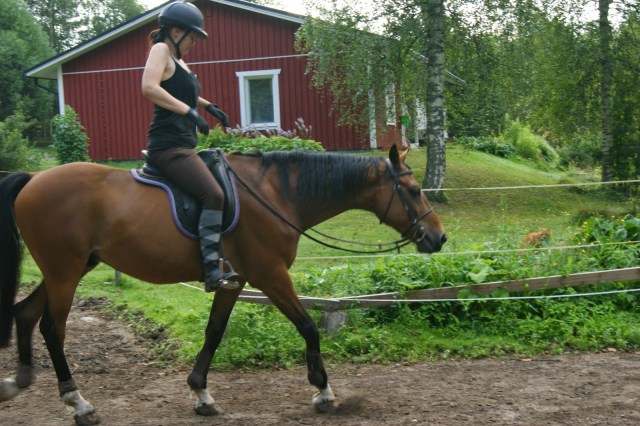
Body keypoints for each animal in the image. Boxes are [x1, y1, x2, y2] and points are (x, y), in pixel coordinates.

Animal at [0, 144, 446, 424]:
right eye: (413, 190)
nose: (439, 238)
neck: (277, 193)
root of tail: (33, 179)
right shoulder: (270, 275)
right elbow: (308, 326)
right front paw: (323, 391)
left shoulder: (235, 281)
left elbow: (214, 332)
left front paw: (201, 394)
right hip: (65, 271)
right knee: (52, 328)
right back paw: (78, 402)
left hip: (70, 269)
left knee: (24, 312)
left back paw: (19, 381)